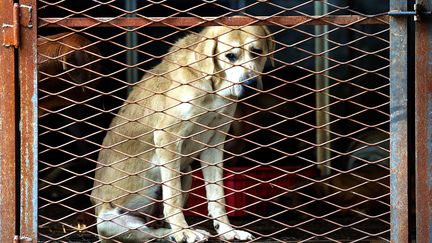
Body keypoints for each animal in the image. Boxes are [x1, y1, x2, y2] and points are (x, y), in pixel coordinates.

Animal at [90, 25, 274, 242]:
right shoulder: (167, 138)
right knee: (151, 232)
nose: (251, 84)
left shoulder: (214, 143)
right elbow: (173, 197)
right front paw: (183, 231)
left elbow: (217, 195)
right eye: (230, 55)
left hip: (185, 173)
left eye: (257, 51)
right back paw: (178, 233)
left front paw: (227, 230)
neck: (211, 85)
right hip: (109, 222)